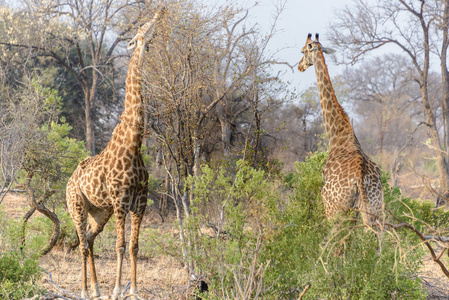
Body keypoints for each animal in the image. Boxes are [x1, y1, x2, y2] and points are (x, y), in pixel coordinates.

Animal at [65, 8, 164, 298]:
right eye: (142, 31)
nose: (159, 14)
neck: (134, 143)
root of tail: (68, 182)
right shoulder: (121, 201)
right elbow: (120, 246)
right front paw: (118, 289)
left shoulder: (140, 202)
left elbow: (134, 246)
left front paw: (134, 289)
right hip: (76, 206)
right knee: (82, 243)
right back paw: (85, 290)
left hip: (100, 212)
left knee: (88, 238)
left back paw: (97, 288)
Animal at [298, 33, 382, 225]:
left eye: (303, 50)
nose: (299, 66)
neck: (336, 135)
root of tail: (360, 175)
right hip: (376, 207)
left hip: (335, 209)